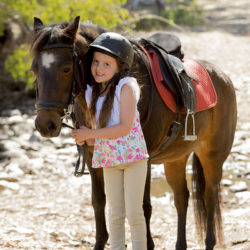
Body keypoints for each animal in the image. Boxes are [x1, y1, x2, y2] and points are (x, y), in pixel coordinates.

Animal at [30, 16, 237, 249]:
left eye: (66, 69)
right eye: (34, 69)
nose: (45, 124)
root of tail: (222, 77)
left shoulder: (144, 160)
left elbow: (143, 206)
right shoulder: (92, 158)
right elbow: (99, 201)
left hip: (212, 156)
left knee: (210, 196)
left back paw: (210, 241)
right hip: (176, 159)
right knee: (182, 197)